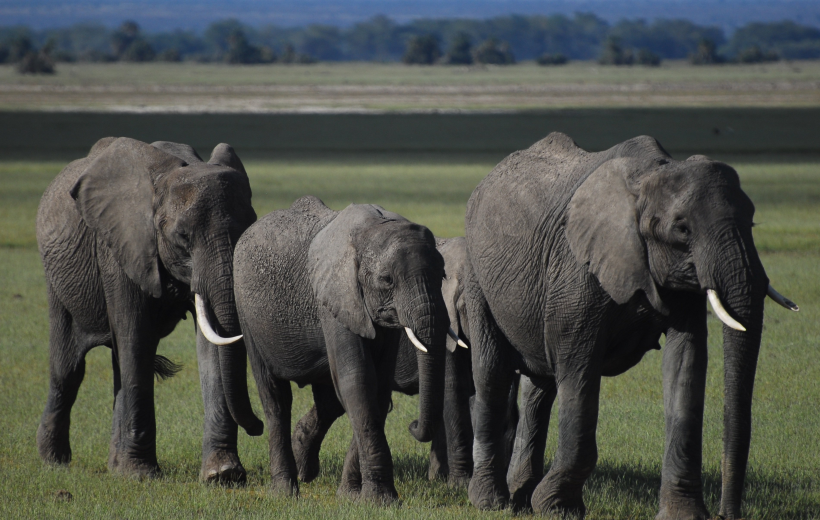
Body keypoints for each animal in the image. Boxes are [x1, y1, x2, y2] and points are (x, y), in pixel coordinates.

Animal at [36, 136, 262, 482]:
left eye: (248, 228)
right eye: (183, 236)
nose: (259, 426)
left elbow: (210, 346)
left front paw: (222, 475)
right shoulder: (120, 248)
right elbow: (136, 338)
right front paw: (140, 475)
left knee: (119, 365)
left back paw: (113, 466)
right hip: (56, 278)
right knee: (69, 369)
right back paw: (54, 461)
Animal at [234, 196, 452, 504]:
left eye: (443, 274)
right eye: (387, 279)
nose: (412, 425)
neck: (373, 228)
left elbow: (377, 389)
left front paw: (351, 497)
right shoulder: (336, 297)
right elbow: (358, 381)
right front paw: (380, 501)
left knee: (328, 402)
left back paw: (305, 470)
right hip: (247, 312)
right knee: (275, 398)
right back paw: (285, 491)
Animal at [464, 132, 796, 516]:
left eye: (753, 222)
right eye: (682, 229)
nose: (726, 515)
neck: (650, 177)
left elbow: (686, 364)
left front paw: (683, 515)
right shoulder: (577, 269)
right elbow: (579, 370)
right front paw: (560, 509)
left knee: (539, 387)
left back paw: (520, 499)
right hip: (478, 274)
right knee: (492, 371)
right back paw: (492, 503)